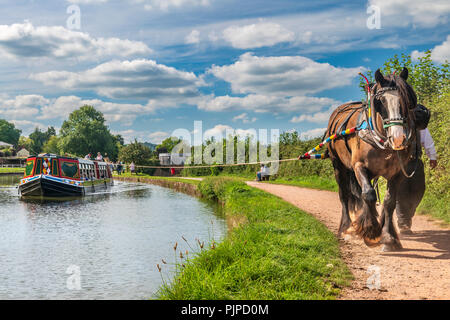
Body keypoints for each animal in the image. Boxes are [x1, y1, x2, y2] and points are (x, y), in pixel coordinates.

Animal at [326, 67, 418, 251]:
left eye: (406, 100)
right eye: (380, 101)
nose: (398, 138)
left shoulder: (397, 172)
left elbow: (389, 202)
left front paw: (389, 238)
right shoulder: (359, 166)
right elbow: (368, 194)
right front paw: (371, 230)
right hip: (338, 165)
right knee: (345, 195)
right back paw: (346, 227)